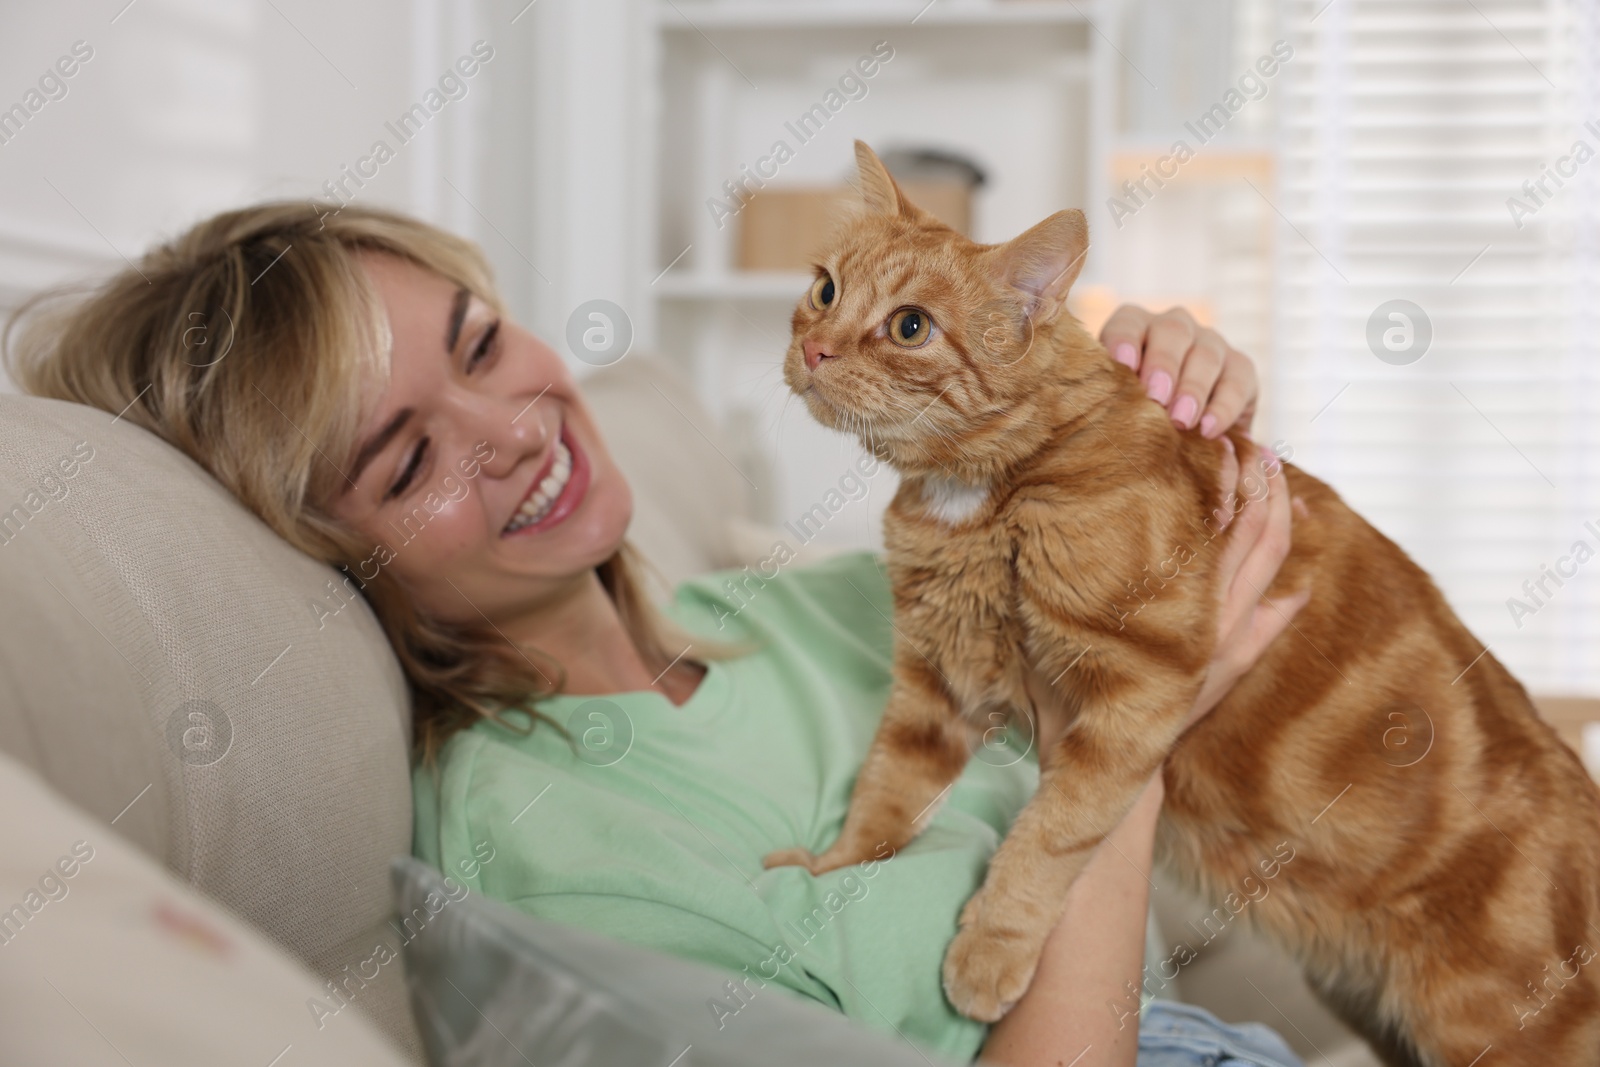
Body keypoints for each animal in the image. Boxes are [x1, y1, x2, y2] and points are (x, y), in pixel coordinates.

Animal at [761, 143, 1600, 1067]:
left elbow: (1050, 835)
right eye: (826, 288)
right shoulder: (932, 683)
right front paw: (830, 871)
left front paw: (989, 949)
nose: (815, 347)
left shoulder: (1140, 685)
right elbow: (883, 796)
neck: (985, 492)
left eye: (910, 326)